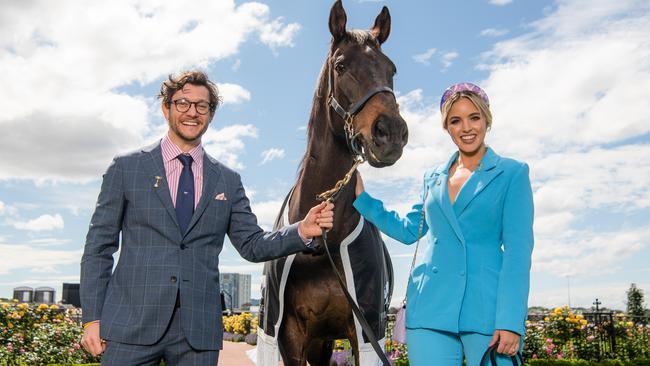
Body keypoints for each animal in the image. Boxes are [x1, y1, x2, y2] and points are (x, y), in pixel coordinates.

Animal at [256, 1, 404, 364]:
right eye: (341, 65)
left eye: (391, 69)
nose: (391, 133)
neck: (323, 244)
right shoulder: (290, 336)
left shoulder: (363, 332)